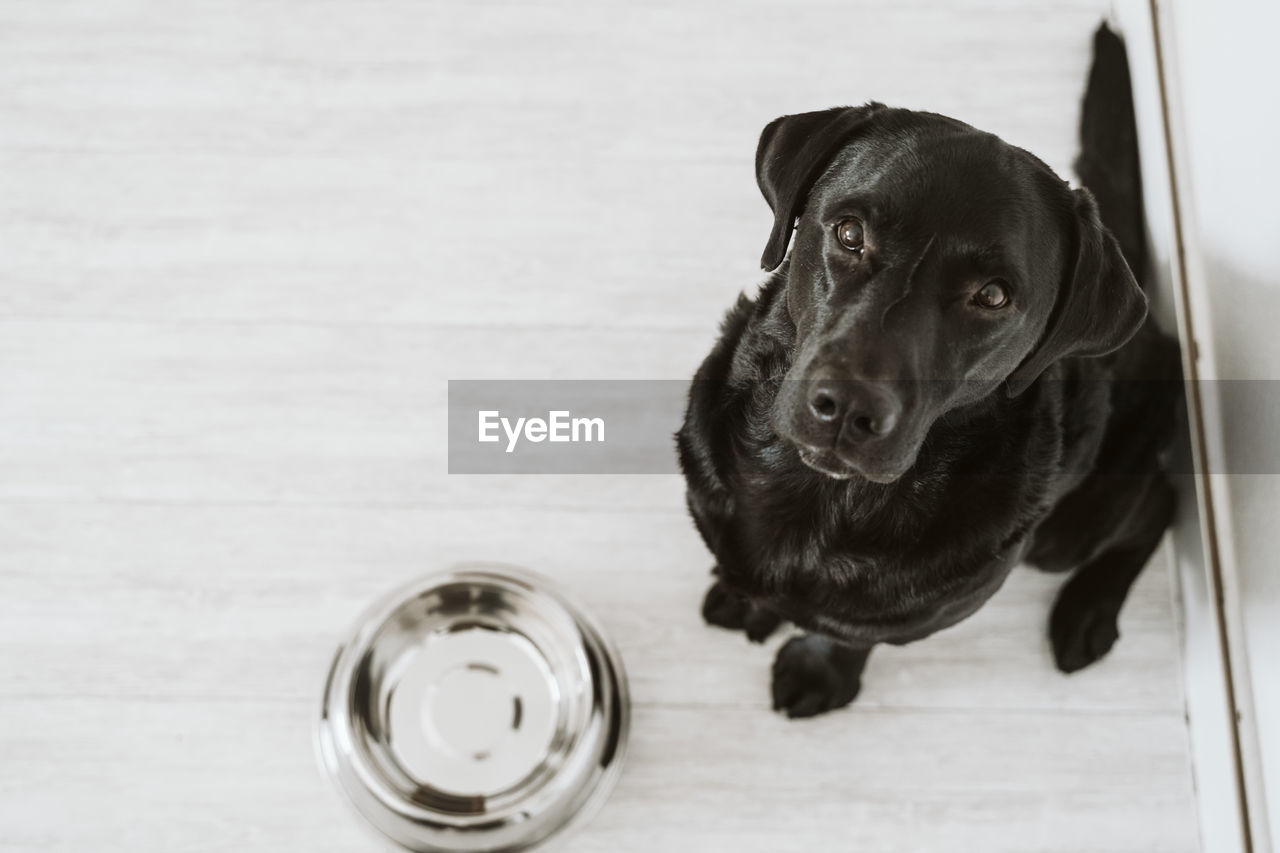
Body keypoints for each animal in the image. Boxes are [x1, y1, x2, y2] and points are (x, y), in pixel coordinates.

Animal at [680, 26, 1177, 712]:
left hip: (1068, 530)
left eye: (992, 296)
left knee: (1161, 498)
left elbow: (849, 635)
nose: (847, 408)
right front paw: (744, 598)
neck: (824, 499)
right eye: (849, 232)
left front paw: (819, 671)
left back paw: (1088, 609)